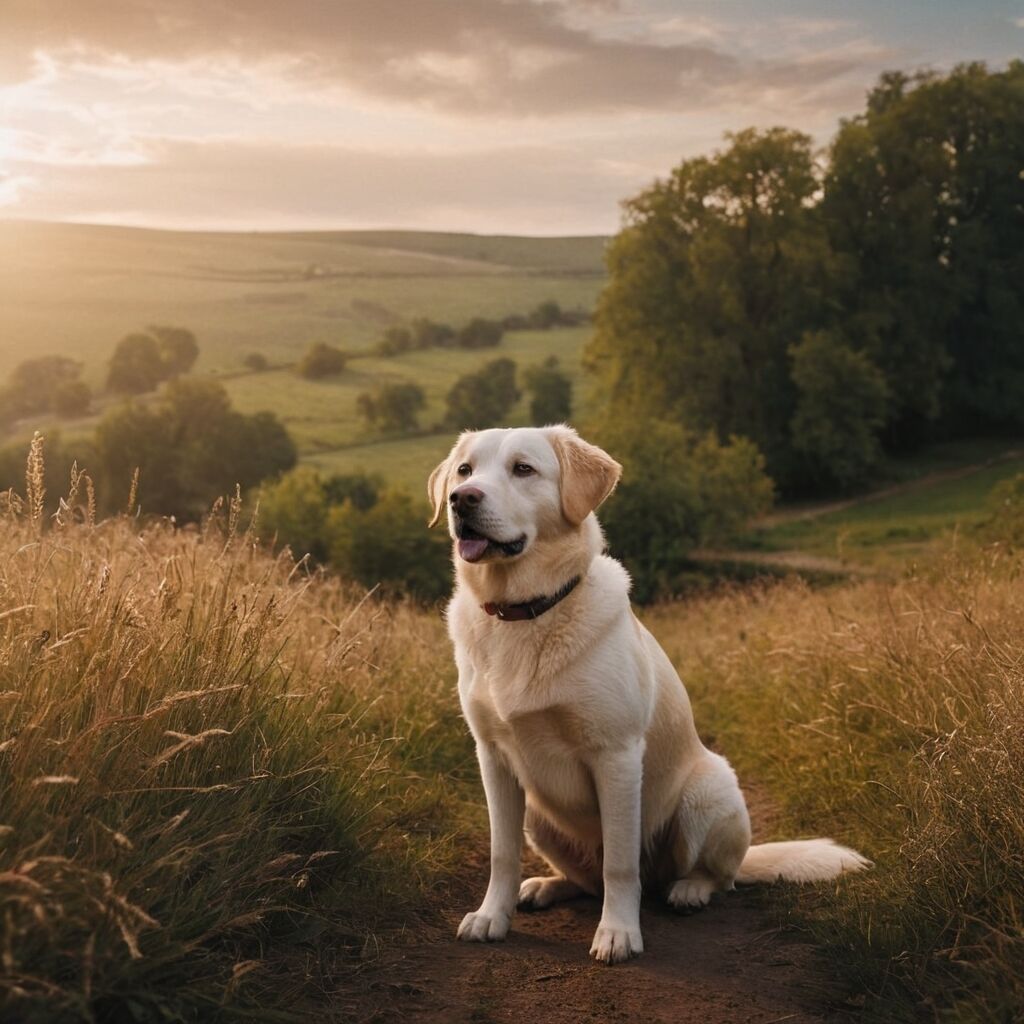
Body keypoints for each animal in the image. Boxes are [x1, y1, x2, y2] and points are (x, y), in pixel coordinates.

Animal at [428, 421, 868, 958]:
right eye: (465, 470)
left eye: (523, 469)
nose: (461, 499)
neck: (527, 612)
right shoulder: (492, 758)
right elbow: (501, 854)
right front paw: (493, 916)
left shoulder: (615, 755)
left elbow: (620, 864)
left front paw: (618, 932)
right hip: (538, 815)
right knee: (587, 879)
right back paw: (547, 886)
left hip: (707, 791)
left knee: (711, 878)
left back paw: (689, 890)